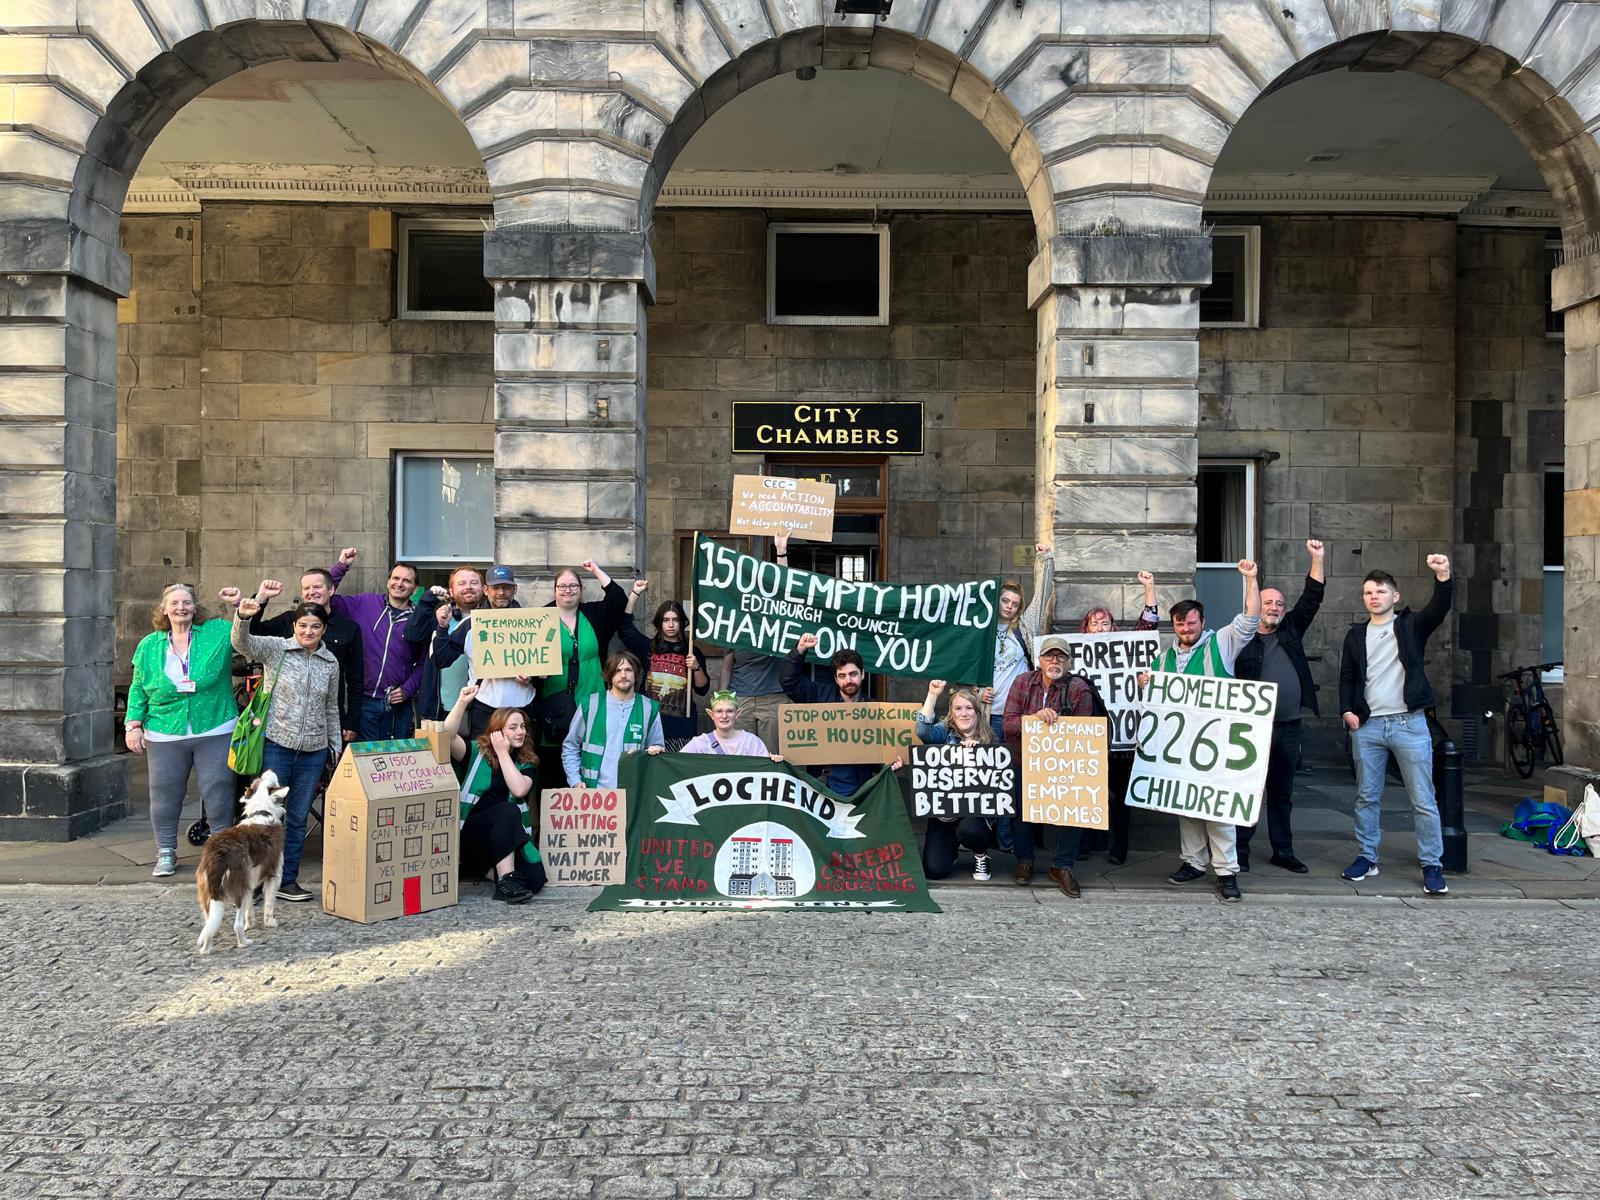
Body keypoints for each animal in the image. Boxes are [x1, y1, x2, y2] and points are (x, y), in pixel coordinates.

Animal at [197, 771, 289, 960]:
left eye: (260, 779)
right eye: (273, 781)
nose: (268, 769)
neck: (262, 812)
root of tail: (216, 855)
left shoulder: (250, 882)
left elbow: (250, 909)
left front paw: (251, 924)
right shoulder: (274, 875)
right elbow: (269, 904)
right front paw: (270, 923)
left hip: (210, 896)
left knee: (210, 926)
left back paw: (207, 949)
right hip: (238, 890)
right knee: (236, 925)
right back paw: (244, 943)